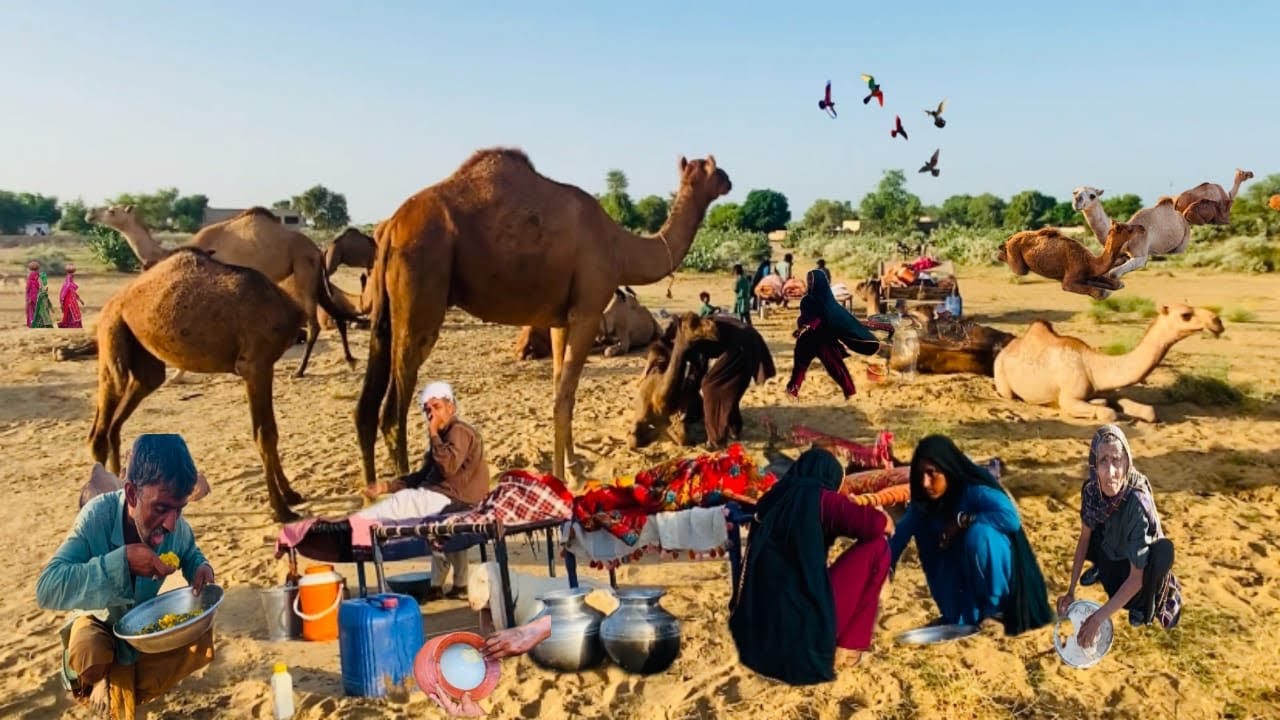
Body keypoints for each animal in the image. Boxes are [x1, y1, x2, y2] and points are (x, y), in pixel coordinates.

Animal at [86, 205, 359, 377]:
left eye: (111, 210)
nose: (89, 214)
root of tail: (317, 249)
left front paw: (179, 374)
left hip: (303, 273)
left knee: (314, 324)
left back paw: (300, 371)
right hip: (314, 277)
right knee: (336, 314)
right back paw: (350, 360)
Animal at [90, 248, 309, 521]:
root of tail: (113, 301)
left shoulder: (265, 365)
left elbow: (272, 431)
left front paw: (291, 495)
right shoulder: (255, 365)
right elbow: (264, 434)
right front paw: (281, 509)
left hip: (145, 358)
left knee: (118, 421)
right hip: (112, 330)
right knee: (102, 424)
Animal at [356, 148, 731, 487]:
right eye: (713, 169)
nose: (729, 180)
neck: (619, 247)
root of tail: (391, 226)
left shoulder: (560, 320)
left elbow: (559, 390)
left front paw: (574, 468)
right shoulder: (587, 312)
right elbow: (564, 399)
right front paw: (563, 479)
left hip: (385, 311)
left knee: (366, 407)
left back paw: (372, 491)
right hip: (421, 294)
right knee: (393, 412)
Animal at [993, 303, 1224, 423]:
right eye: (1186, 314)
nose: (1217, 321)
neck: (1094, 367)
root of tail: (1006, 349)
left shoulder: (1111, 390)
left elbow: (1147, 411)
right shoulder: (1069, 397)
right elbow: (1108, 413)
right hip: (1001, 375)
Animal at [997, 222, 1143, 299]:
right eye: (1129, 229)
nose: (1142, 228)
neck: (1090, 263)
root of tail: (1011, 237)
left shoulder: (1089, 274)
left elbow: (1117, 284)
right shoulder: (1069, 279)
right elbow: (1098, 291)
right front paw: (1103, 291)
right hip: (1017, 259)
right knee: (1019, 269)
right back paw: (1000, 251)